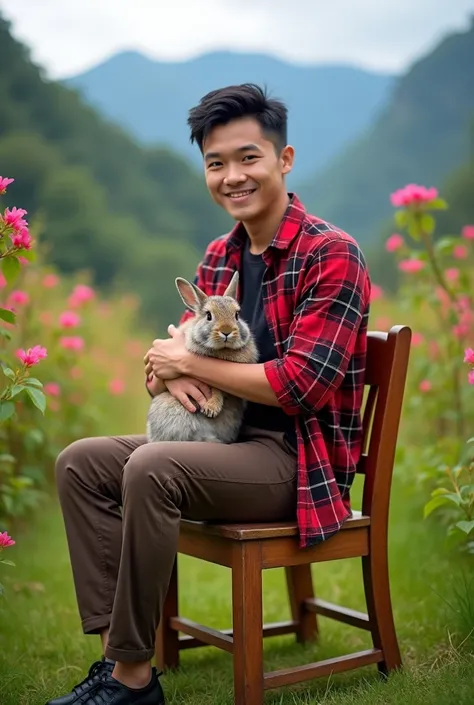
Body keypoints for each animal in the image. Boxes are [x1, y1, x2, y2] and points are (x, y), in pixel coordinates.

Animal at [147, 272, 260, 442]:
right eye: (208, 316)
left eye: (236, 315)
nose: (226, 331)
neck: (223, 350)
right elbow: (216, 389)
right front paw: (211, 408)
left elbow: (219, 389)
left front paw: (211, 408)